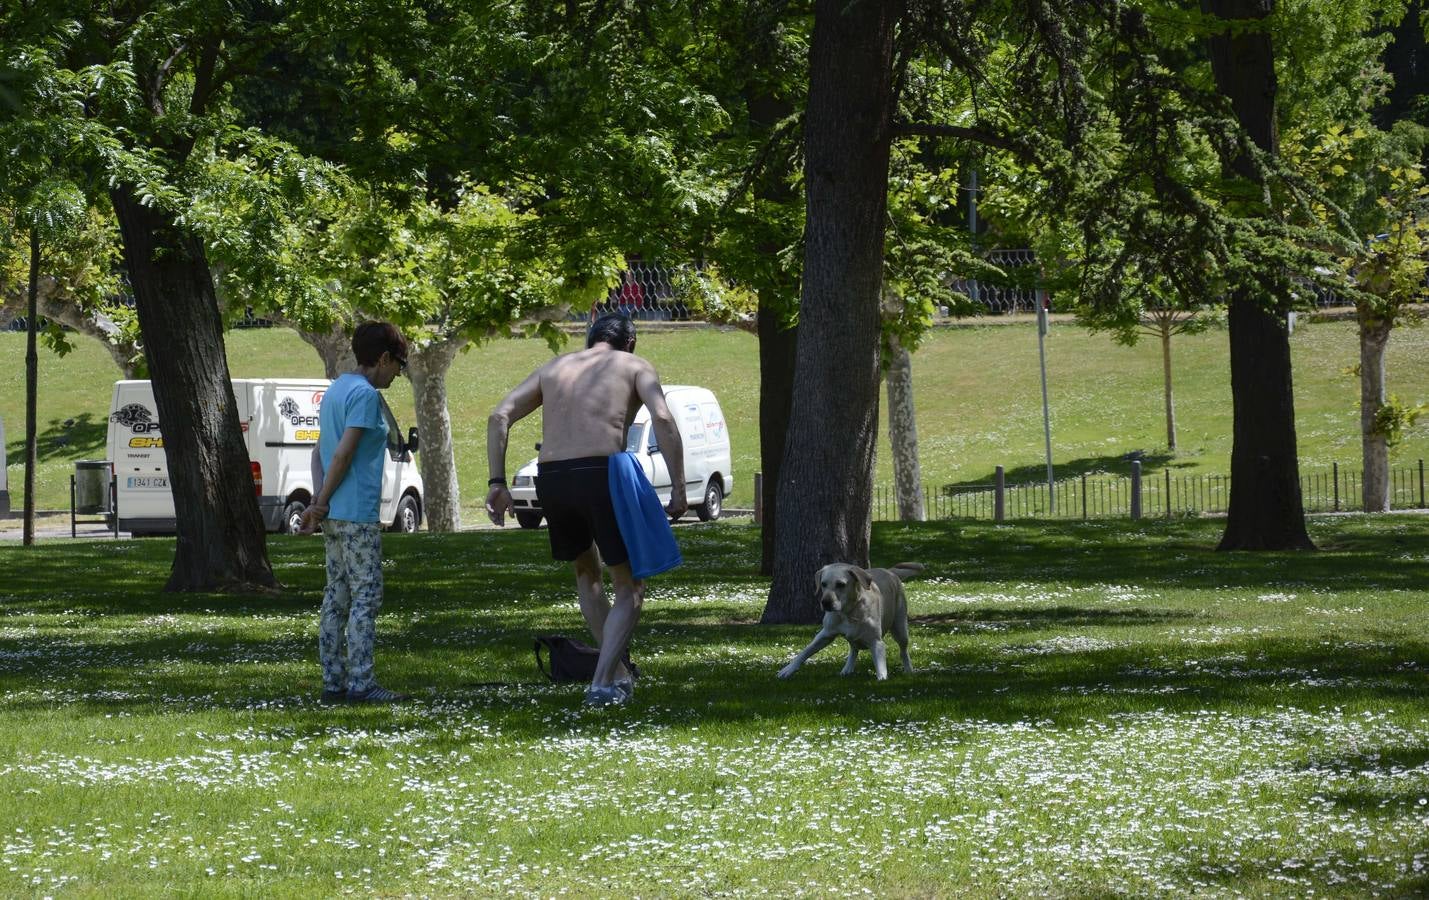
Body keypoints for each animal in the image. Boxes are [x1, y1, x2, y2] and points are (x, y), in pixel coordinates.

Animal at [777, 560, 920, 680]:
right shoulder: (825, 634)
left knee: (903, 650)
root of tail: (890, 571)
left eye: (841, 584)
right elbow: (805, 651)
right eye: (823, 584)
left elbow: (880, 665)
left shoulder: (876, 642)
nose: (825, 603)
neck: (848, 613)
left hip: (900, 628)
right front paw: (788, 669)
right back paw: (847, 669)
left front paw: (882, 679)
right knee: (853, 649)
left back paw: (909, 670)